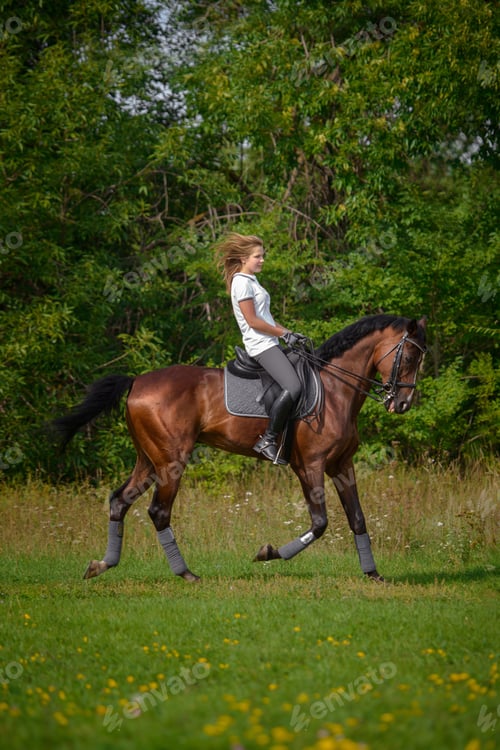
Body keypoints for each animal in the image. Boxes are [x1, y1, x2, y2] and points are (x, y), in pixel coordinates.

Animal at [52, 313, 427, 583]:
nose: (403, 403)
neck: (336, 390)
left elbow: (358, 518)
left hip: (148, 459)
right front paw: (269, 552)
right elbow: (320, 523)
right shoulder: (310, 465)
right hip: (171, 461)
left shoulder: (341, 465)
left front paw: (373, 573)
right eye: (409, 355)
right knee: (158, 511)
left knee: (120, 501)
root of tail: (136, 381)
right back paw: (186, 573)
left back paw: (102, 565)